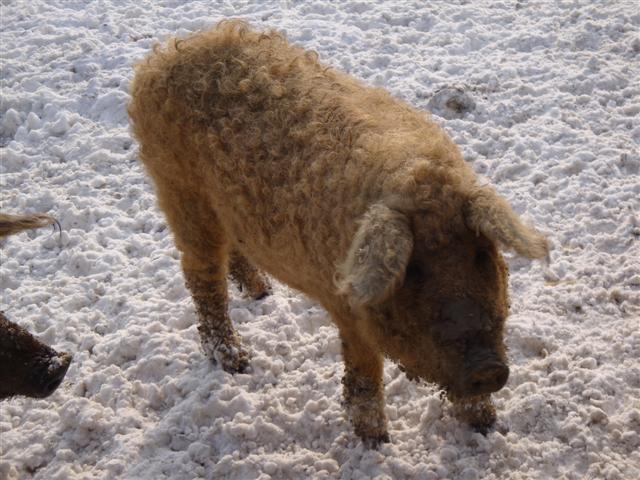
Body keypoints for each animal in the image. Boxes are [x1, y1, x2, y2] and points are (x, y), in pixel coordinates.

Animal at [128, 20, 548, 445]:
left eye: (481, 254)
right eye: (414, 269)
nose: (488, 368)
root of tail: (167, 53)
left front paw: (487, 427)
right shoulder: (347, 309)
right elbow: (364, 370)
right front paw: (375, 442)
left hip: (223, 207)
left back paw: (263, 293)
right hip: (179, 191)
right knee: (200, 273)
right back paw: (236, 362)